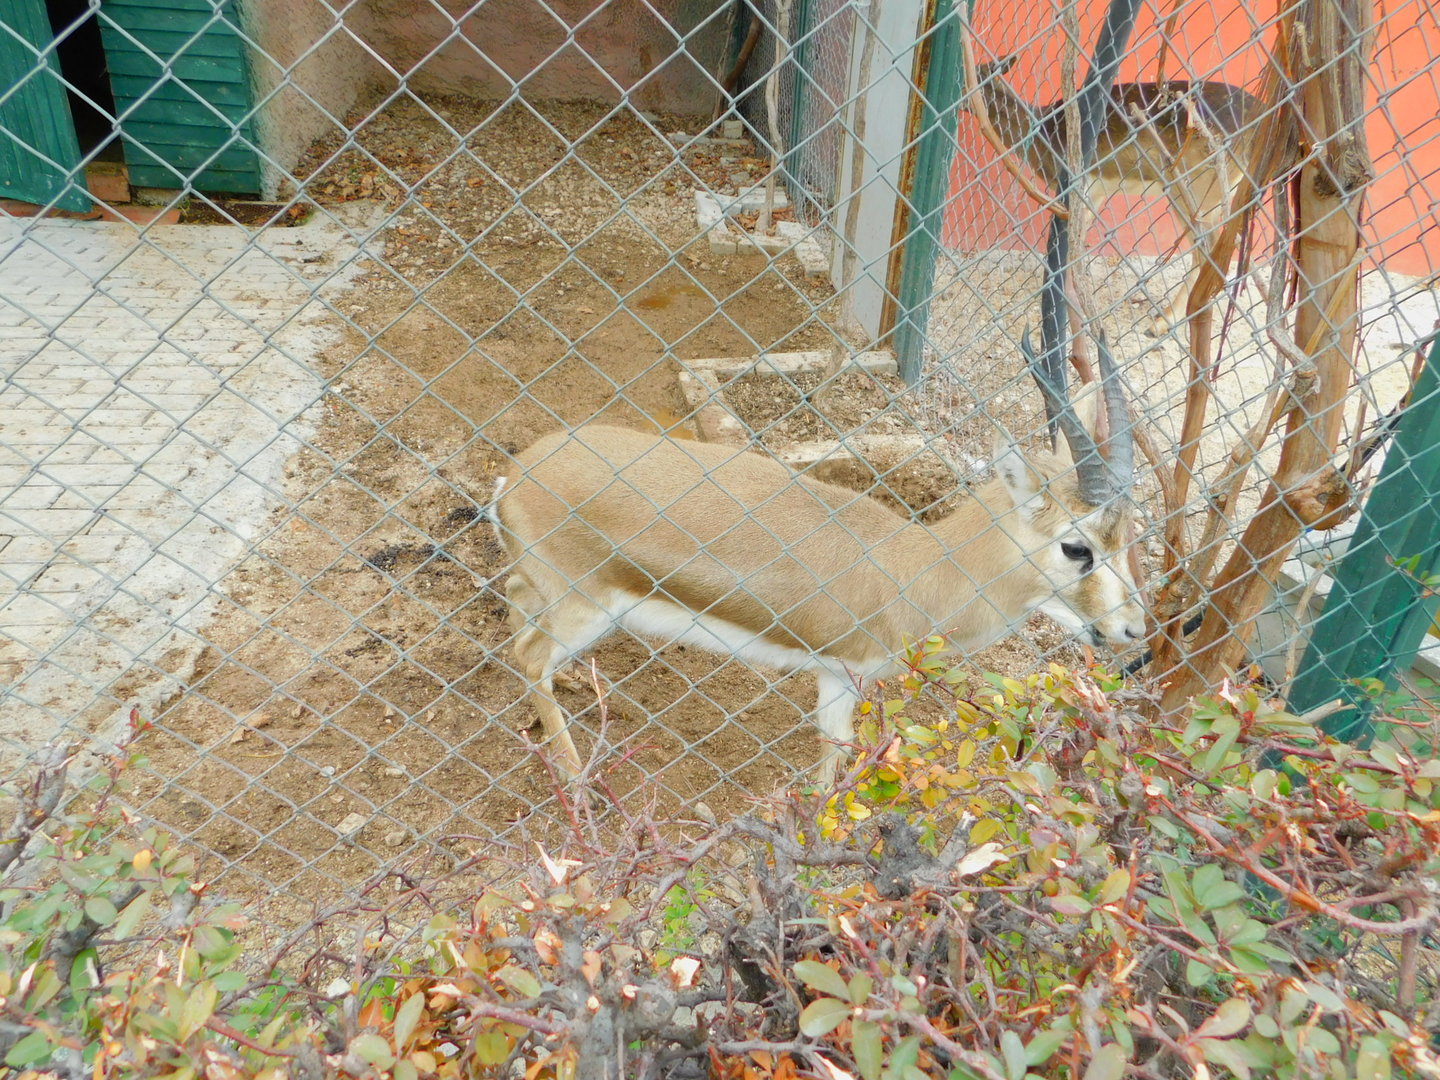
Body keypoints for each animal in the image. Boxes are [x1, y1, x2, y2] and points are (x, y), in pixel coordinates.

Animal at [492, 339, 1145, 786]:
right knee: (528, 654)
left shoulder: (833, 677)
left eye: (1129, 535)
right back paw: (575, 777)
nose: (1134, 630)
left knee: (518, 616)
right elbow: (835, 755)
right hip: (584, 607)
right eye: (1077, 546)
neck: (914, 569)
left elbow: (834, 747)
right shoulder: (848, 671)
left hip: (549, 591)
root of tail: (516, 474)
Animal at [966, 55, 1289, 336]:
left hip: (1197, 188)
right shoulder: (1093, 192)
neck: (1041, 135)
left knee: (1208, 252)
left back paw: (1163, 323)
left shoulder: (1077, 183)